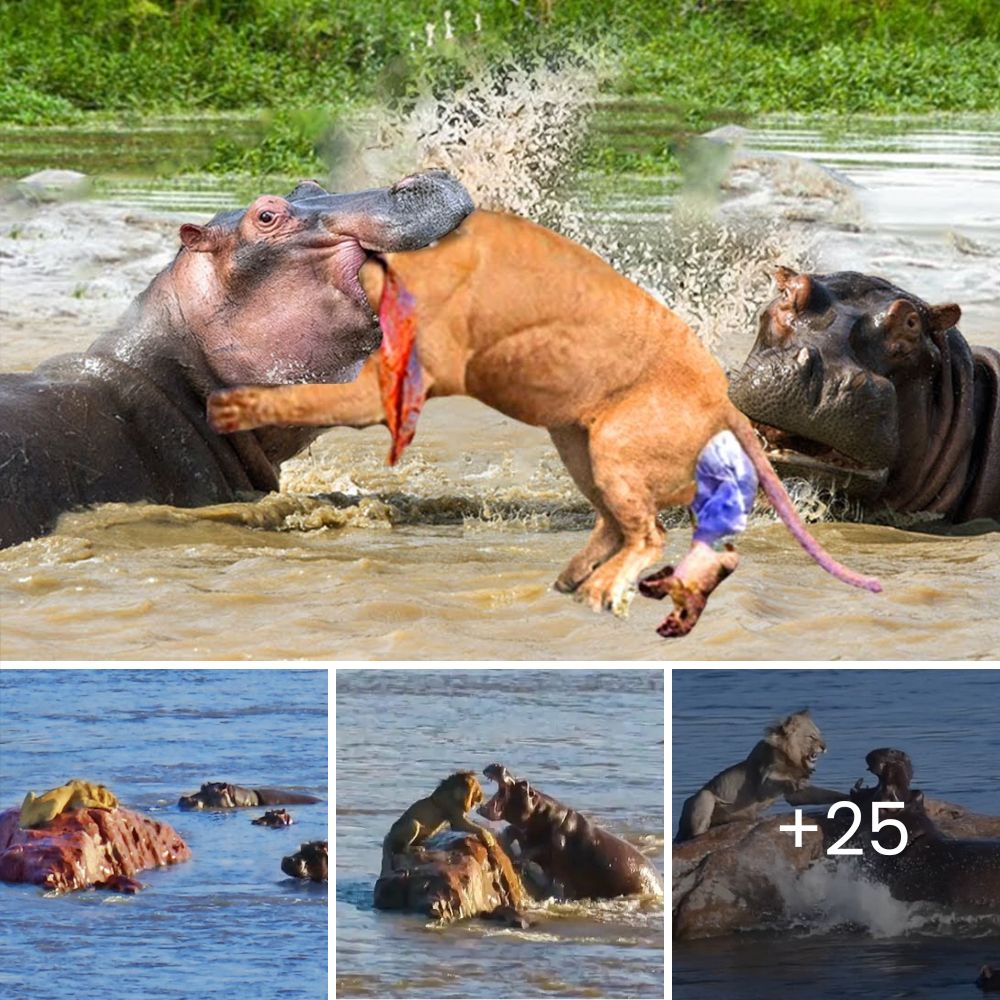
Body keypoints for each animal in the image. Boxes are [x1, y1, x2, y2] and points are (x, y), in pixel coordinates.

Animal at [478, 764, 664, 900]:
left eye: (523, 783)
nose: (499, 766)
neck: (541, 811)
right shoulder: (526, 833)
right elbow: (513, 831)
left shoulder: (554, 845)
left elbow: (536, 849)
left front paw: (518, 861)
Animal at [672, 712, 844, 844]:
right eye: (811, 736)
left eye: (819, 734)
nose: (825, 747)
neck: (791, 757)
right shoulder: (761, 785)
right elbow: (779, 782)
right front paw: (794, 782)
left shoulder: (796, 796)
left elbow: (827, 794)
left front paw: (846, 797)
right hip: (704, 796)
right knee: (695, 834)